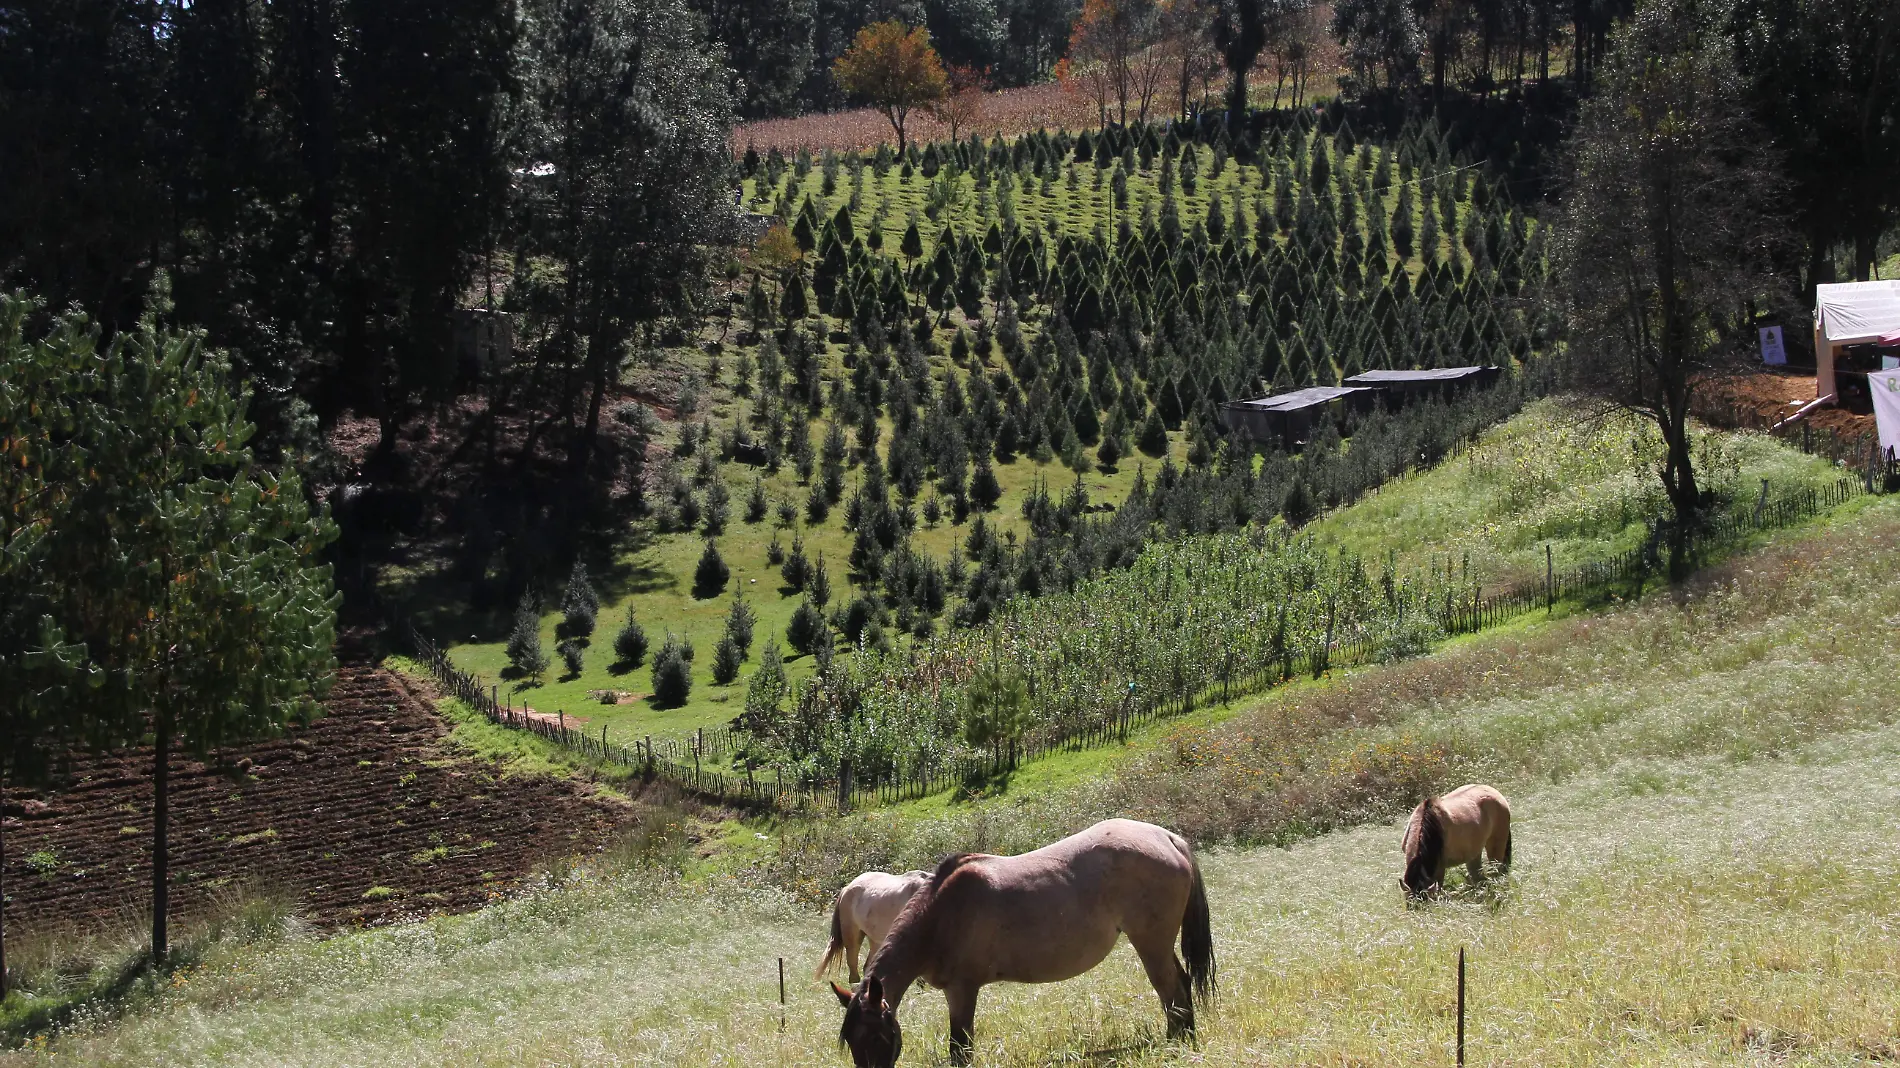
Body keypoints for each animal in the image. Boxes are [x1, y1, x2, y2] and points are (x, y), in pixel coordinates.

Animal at [832, 817, 1216, 1056]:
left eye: (878, 1037)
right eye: (852, 1043)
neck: (941, 913)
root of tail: (1167, 838)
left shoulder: (962, 990)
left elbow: (960, 1048)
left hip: (1151, 943)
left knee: (1171, 989)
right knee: (1180, 985)